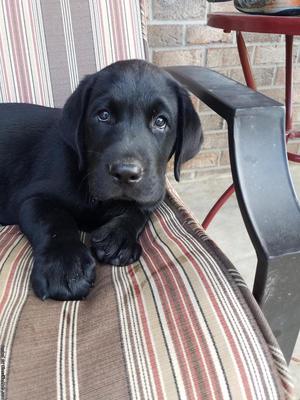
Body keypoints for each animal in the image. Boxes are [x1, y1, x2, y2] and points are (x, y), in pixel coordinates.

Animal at [0, 60, 203, 300]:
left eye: (161, 121)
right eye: (104, 115)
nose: (125, 173)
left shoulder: (154, 191)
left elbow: (139, 210)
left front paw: (117, 237)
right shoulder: (32, 197)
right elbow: (54, 220)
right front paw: (66, 266)